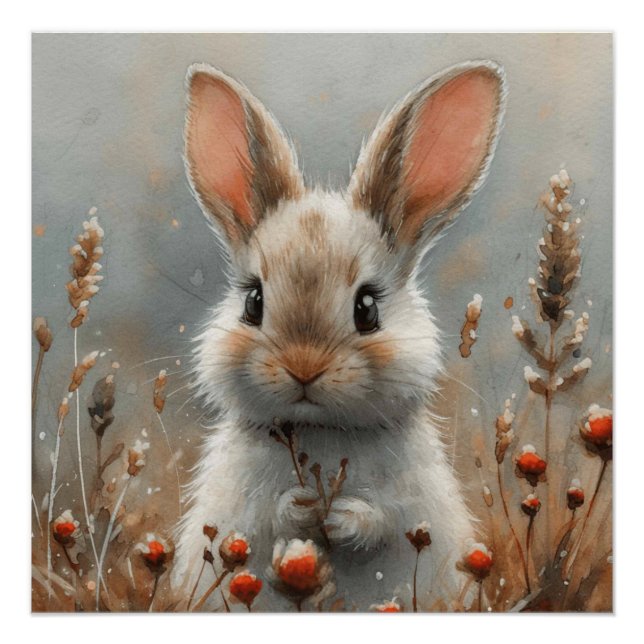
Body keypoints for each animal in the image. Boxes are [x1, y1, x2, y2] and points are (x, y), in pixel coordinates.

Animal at [171, 59, 507, 611]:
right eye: (253, 302)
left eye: (367, 308)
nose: (303, 367)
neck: (321, 434)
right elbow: (271, 513)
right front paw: (303, 506)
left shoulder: (407, 502)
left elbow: (383, 520)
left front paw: (341, 517)